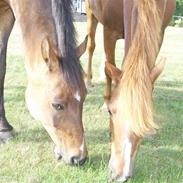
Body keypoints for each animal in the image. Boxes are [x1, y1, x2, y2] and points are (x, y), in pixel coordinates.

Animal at [86, 0, 176, 181]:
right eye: (111, 112)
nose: (120, 174)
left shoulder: (159, 33)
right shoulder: (109, 32)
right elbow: (108, 70)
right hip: (91, 14)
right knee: (91, 45)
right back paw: (89, 80)